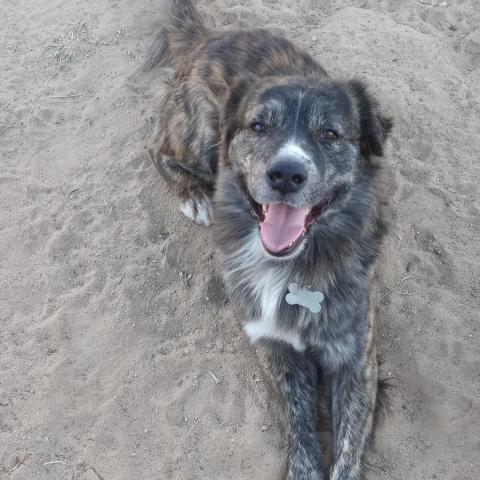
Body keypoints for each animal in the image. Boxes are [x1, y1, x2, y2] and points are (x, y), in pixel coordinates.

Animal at [145, 1, 390, 478]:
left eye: (330, 134)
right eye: (258, 126)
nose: (286, 175)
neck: (292, 268)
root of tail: (210, 36)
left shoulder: (356, 359)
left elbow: (347, 449)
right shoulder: (273, 347)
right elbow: (300, 426)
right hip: (201, 132)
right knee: (155, 150)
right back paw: (194, 196)